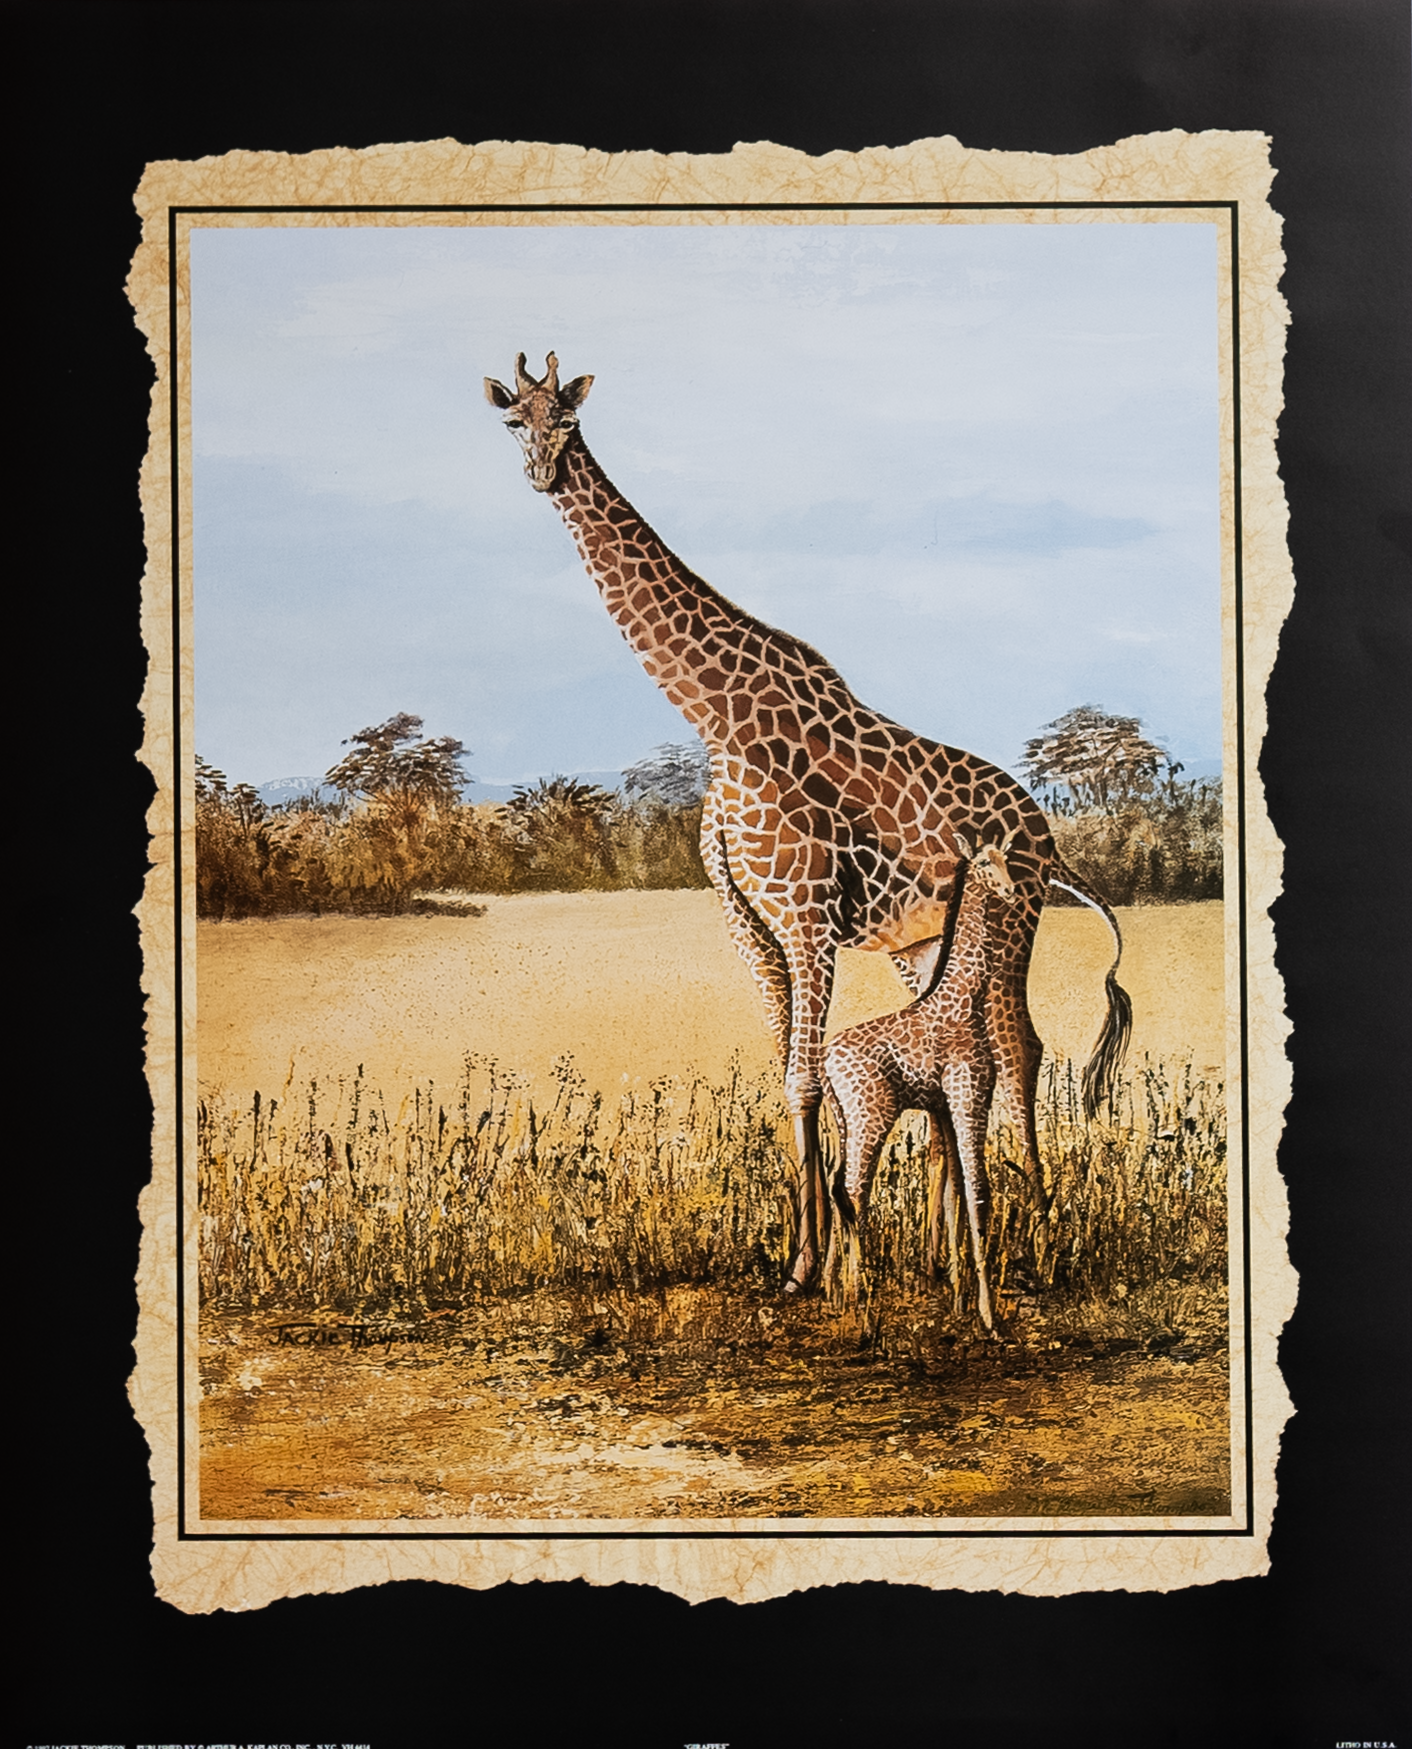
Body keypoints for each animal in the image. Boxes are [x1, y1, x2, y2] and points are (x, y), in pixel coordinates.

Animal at [825, 840, 1130, 1330]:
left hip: (845, 1119)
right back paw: (860, 1297)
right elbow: (979, 1193)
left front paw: (959, 1299)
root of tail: (826, 1061)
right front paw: (988, 1315)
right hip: (872, 1114)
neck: (967, 999)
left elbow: (957, 1196)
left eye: (1007, 861)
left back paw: (836, 1291)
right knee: (854, 1190)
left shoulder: (950, 1104)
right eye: (986, 864)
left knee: (841, 1189)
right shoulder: (968, 1096)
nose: (1010, 892)